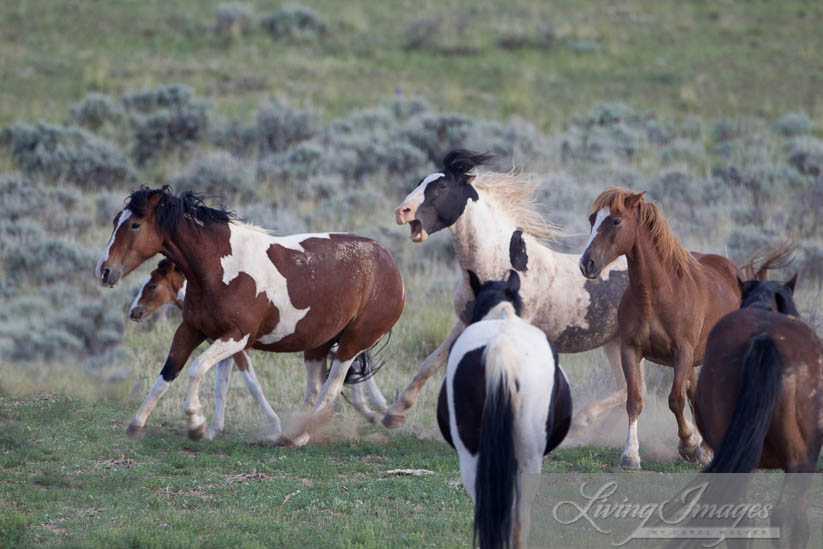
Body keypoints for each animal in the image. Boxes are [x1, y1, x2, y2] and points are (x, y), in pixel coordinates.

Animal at [97, 185, 406, 446]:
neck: (221, 268)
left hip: (353, 342)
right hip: (318, 344)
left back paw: (303, 434)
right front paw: (137, 424)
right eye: (115, 221)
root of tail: (388, 260)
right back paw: (295, 434)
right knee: (315, 390)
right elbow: (170, 375)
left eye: (135, 224)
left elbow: (200, 369)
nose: (104, 271)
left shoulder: (238, 337)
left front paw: (195, 423)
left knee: (332, 387)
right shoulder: (194, 330)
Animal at [384, 150, 640, 432]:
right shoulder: (466, 321)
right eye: (420, 181)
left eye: (442, 186)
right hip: (614, 343)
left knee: (630, 389)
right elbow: (431, 362)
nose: (401, 211)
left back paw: (582, 422)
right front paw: (394, 413)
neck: (498, 265)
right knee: (629, 388)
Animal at [580, 187, 748, 466]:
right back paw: (707, 450)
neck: (656, 294)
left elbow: (675, 400)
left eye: (616, 220)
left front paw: (688, 445)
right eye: (592, 219)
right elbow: (634, 400)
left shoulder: (682, 353)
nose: (586, 263)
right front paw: (630, 454)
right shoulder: (630, 350)